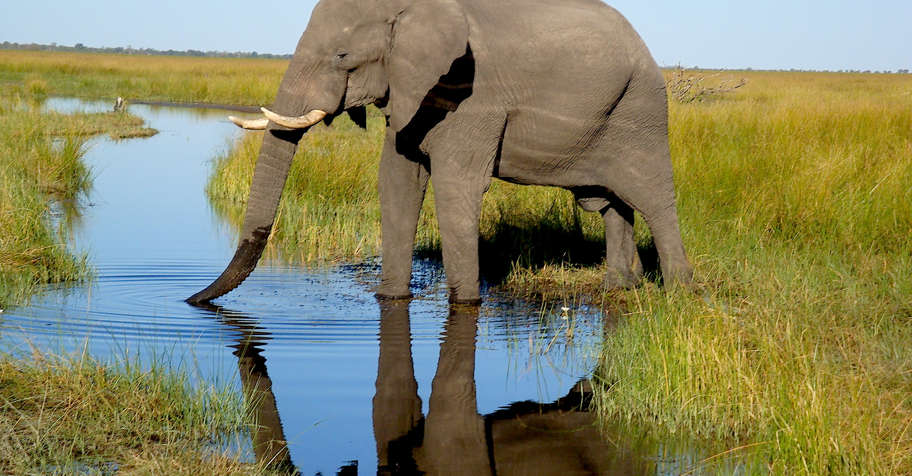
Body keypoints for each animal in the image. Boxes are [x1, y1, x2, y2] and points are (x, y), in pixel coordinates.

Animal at [187, 0, 693, 305]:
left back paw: (679, 293)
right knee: (611, 204)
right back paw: (620, 286)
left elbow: (456, 188)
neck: (409, 7)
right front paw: (390, 298)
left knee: (653, 197)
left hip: (641, 108)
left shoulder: (471, 94)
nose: (190, 302)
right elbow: (396, 182)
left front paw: (465, 303)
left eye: (342, 56)